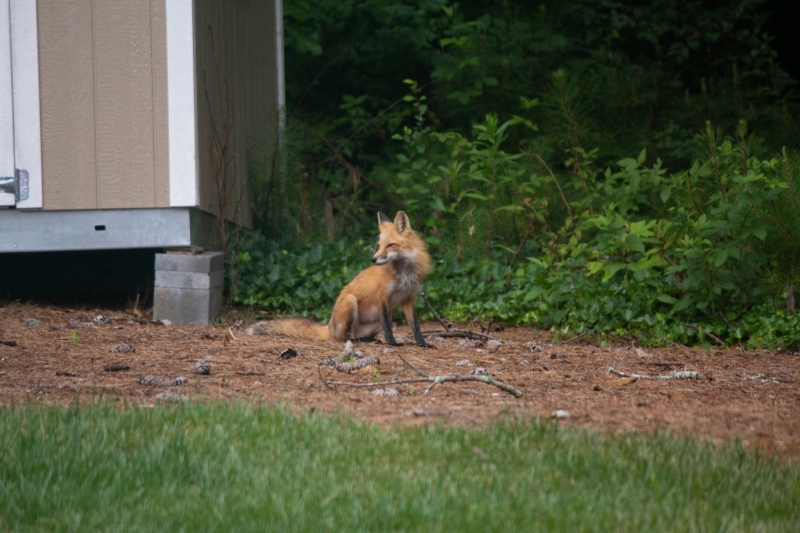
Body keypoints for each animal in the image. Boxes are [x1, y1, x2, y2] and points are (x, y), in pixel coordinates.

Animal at [246, 211, 431, 347]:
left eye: (391, 245)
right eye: (379, 246)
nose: (373, 259)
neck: (404, 273)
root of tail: (329, 327)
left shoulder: (408, 298)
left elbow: (415, 327)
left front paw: (423, 344)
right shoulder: (382, 297)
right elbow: (388, 328)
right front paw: (393, 344)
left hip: (383, 316)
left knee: (357, 335)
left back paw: (370, 339)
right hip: (350, 301)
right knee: (345, 337)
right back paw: (359, 341)